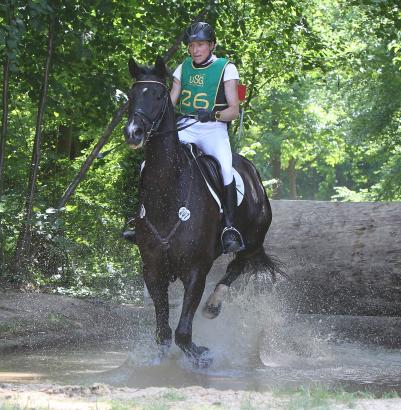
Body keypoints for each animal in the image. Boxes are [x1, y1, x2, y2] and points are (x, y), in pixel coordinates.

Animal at [122, 56, 282, 366]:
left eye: (158, 96)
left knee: (236, 266)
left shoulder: (196, 268)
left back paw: (213, 305)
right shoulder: (153, 268)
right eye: (132, 95)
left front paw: (201, 356)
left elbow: (183, 332)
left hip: (252, 240)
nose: (133, 133)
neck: (168, 196)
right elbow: (163, 332)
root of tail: (252, 172)